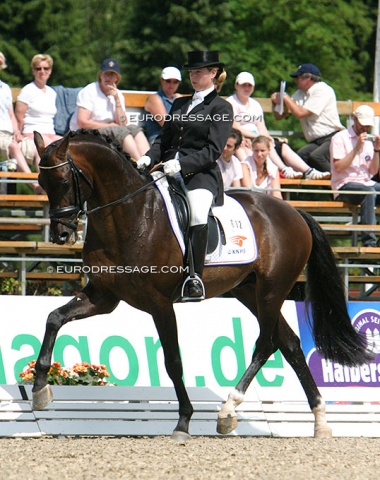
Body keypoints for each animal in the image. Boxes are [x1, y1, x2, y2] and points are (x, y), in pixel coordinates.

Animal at [32, 129, 372, 440]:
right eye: (42, 183)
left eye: (64, 181)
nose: (61, 234)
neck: (128, 215)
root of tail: (294, 212)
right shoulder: (103, 297)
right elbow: (53, 318)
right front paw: (39, 389)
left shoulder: (159, 303)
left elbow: (173, 361)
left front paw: (183, 422)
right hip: (249, 291)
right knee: (288, 343)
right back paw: (320, 421)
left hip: (272, 290)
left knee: (267, 343)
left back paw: (228, 410)